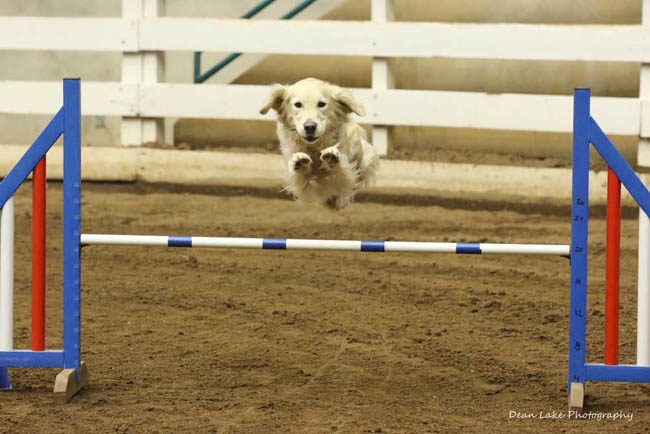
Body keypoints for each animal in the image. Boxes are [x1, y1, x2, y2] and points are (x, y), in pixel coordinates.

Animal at [260, 78, 379, 210]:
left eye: (321, 104)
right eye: (298, 104)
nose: (310, 127)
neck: (314, 147)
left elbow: (339, 178)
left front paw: (332, 158)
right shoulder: (304, 185)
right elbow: (304, 177)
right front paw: (299, 162)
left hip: (365, 153)